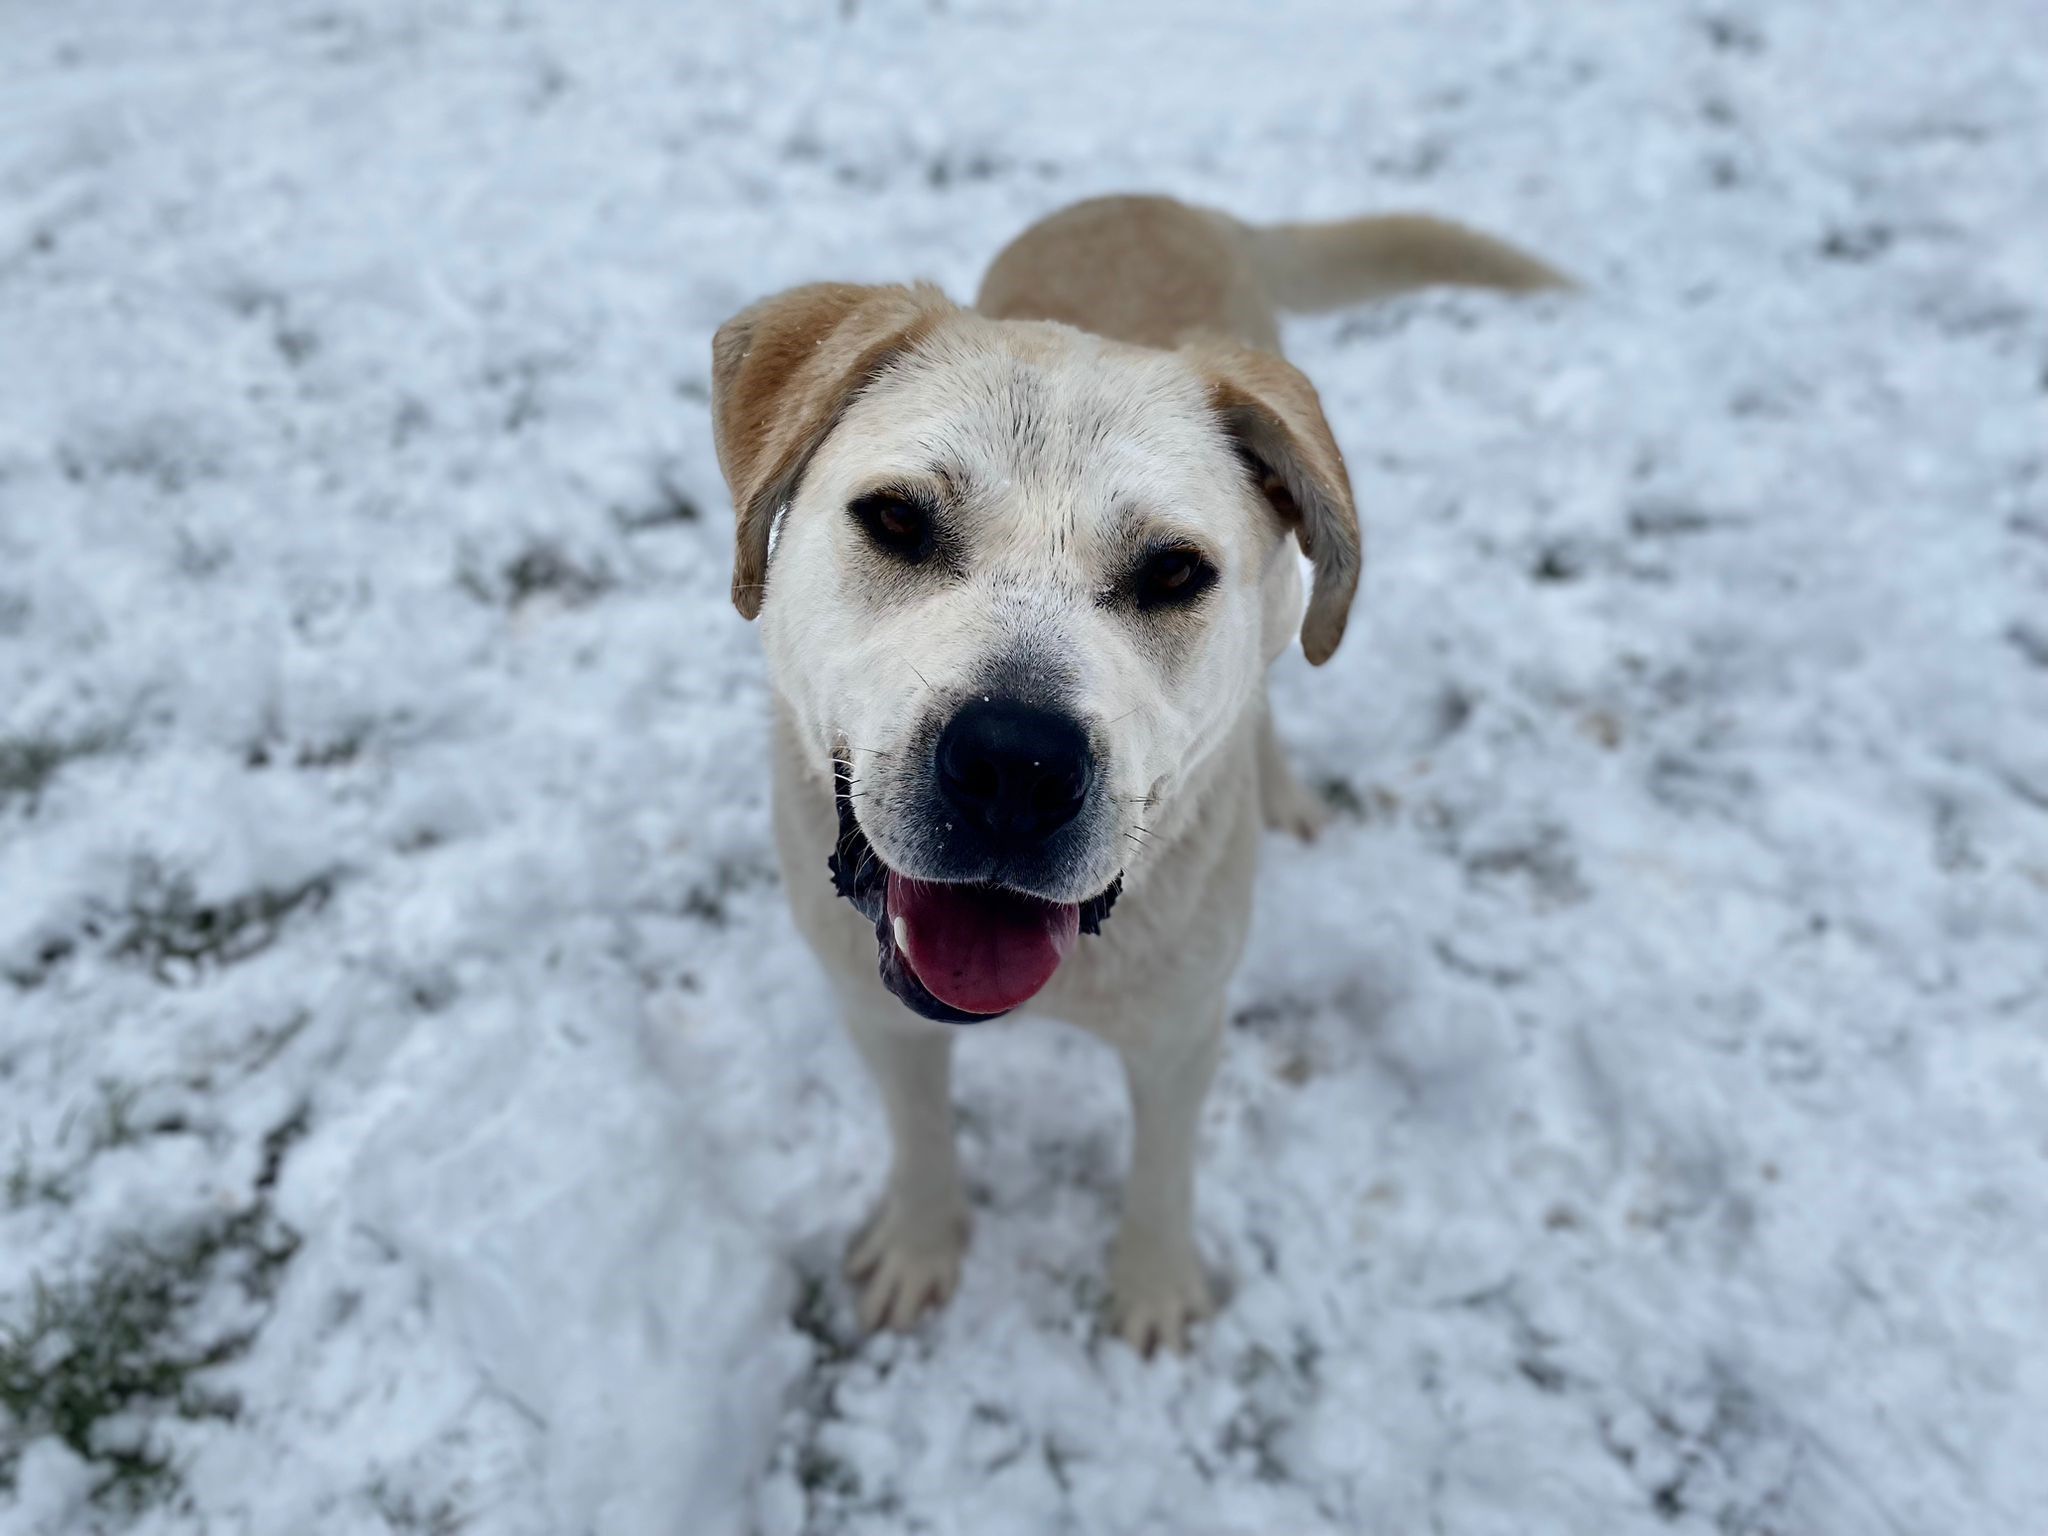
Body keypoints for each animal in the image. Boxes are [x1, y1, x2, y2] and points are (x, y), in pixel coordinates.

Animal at [710, 195, 1565, 1353]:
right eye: (895, 519)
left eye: (1172, 572)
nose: (1013, 767)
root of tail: (1173, 204)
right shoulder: (874, 1011)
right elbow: (919, 1130)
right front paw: (921, 1246)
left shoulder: (1181, 1031)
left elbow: (1162, 1167)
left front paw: (1154, 1292)